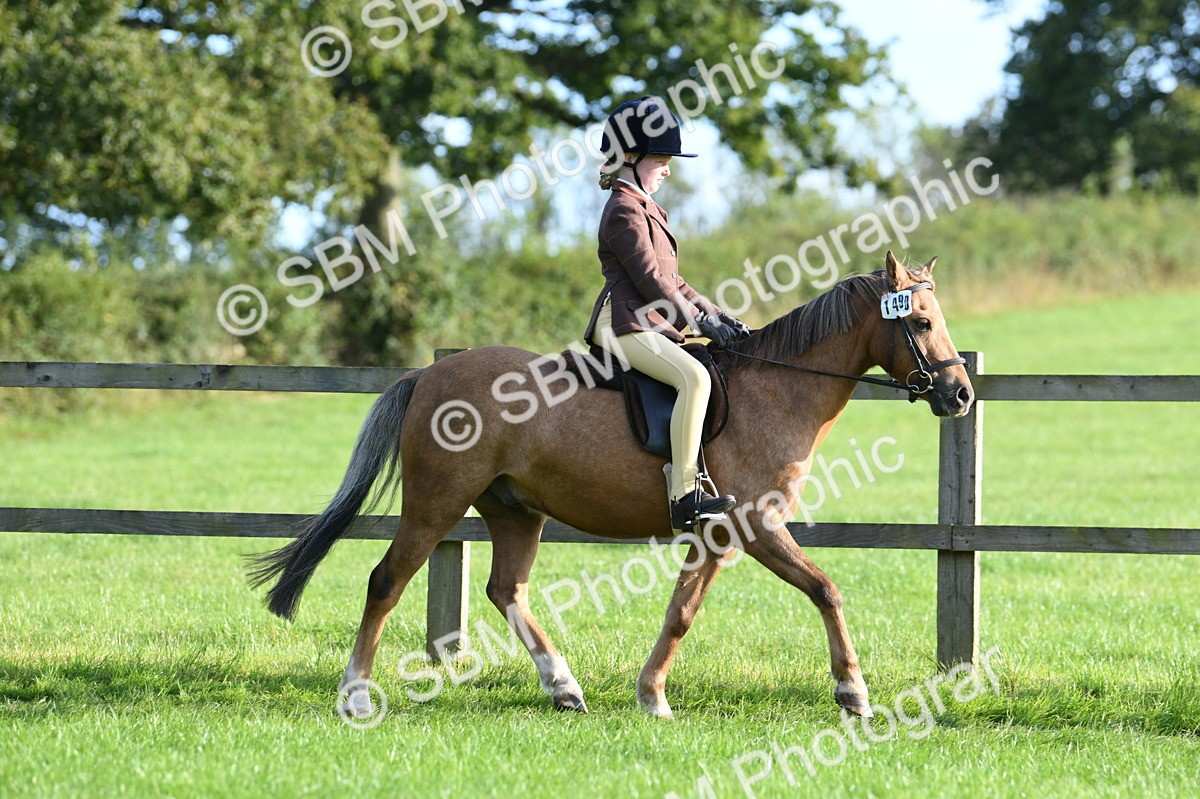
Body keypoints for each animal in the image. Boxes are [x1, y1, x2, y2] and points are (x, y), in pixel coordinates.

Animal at [247, 251, 974, 720]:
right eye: (923, 322)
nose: (961, 394)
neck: (777, 388)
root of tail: (428, 375)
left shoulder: (718, 535)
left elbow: (682, 610)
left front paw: (651, 693)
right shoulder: (754, 526)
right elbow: (824, 589)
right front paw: (853, 693)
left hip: (514, 510)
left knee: (506, 590)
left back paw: (563, 686)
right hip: (435, 504)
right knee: (386, 582)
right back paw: (355, 694)